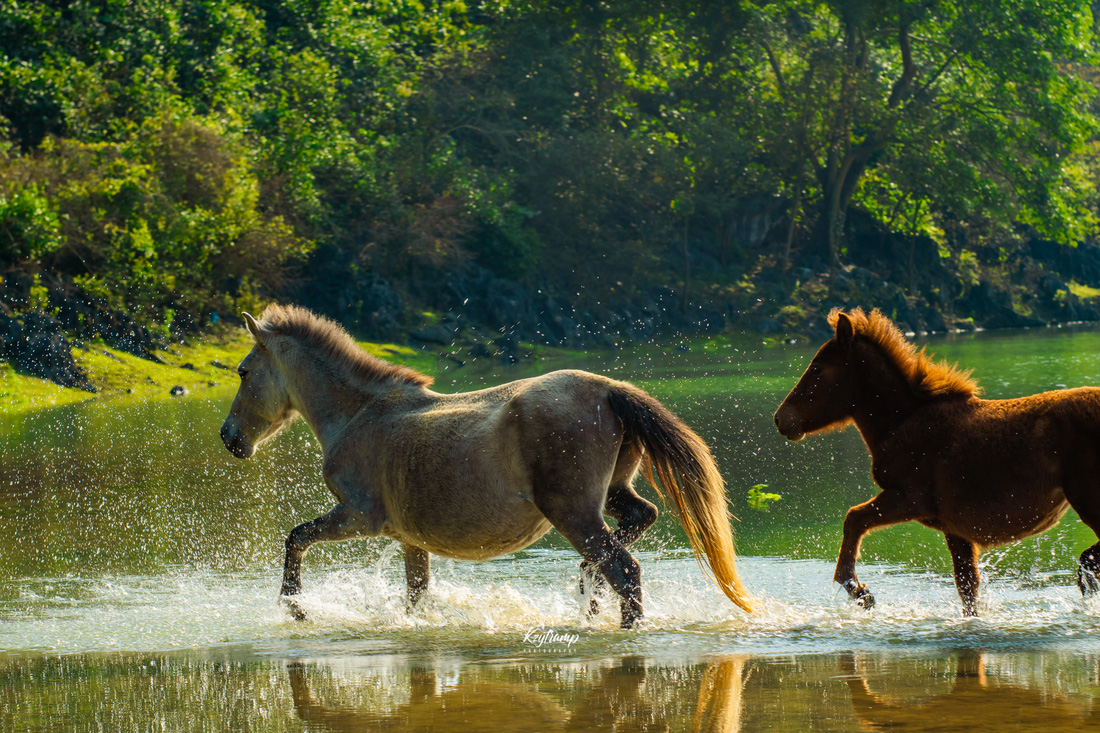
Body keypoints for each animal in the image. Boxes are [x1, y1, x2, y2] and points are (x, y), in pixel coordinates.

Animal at [221, 301, 756, 629]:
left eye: (243, 372)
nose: (230, 438)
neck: (360, 414)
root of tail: (608, 389)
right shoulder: (410, 539)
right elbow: (416, 596)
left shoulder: (358, 516)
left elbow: (295, 539)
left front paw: (294, 607)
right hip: (610, 496)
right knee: (635, 525)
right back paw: (587, 598)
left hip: (574, 511)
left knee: (625, 570)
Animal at [774, 305, 1100, 611]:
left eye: (817, 369)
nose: (782, 419)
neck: (899, 423)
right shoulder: (954, 528)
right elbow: (968, 589)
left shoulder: (911, 498)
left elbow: (853, 519)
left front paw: (860, 591)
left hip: (1088, 502)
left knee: (1088, 557)